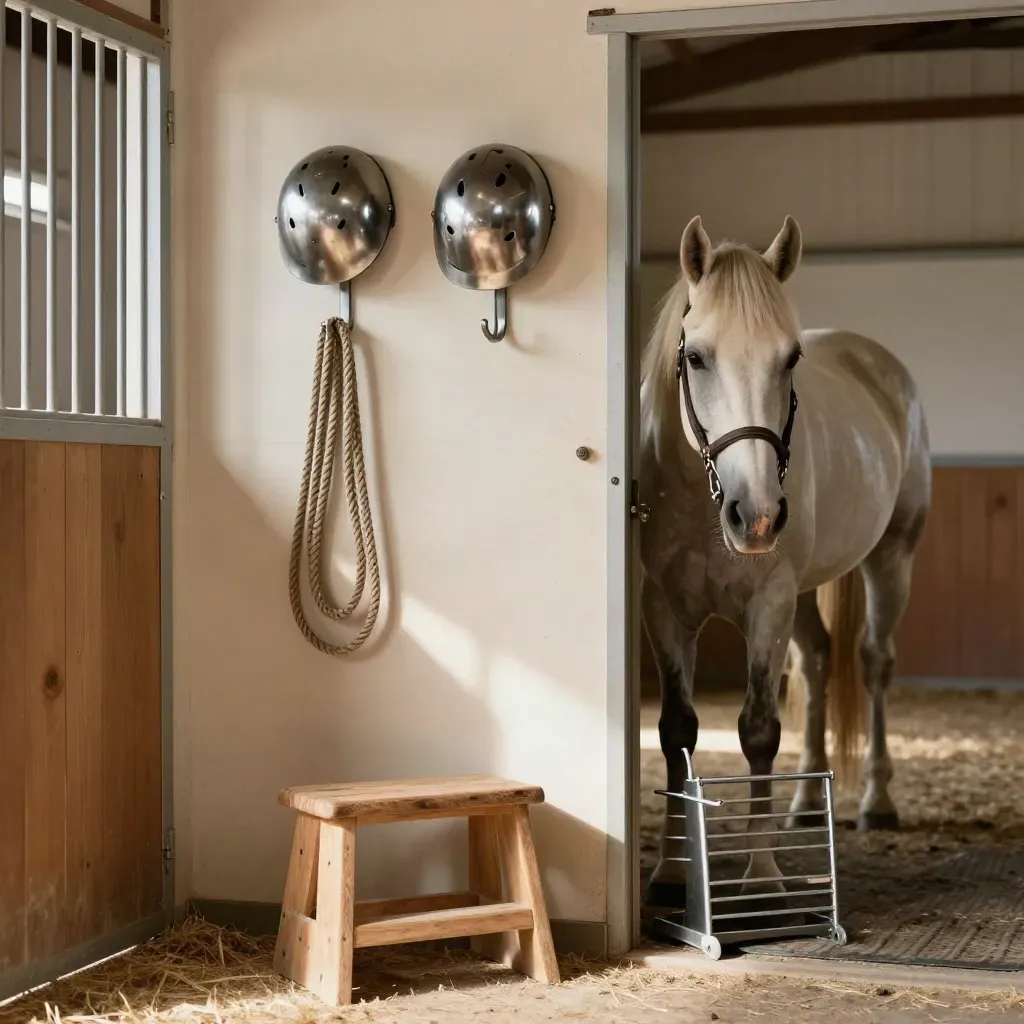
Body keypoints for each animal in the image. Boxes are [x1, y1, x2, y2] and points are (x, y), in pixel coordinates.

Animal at [639, 214, 931, 907]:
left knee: (873, 662)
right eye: (696, 357)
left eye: (790, 358)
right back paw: (804, 803)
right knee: (818, 661)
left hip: (891, 558)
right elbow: (675, 730)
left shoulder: (768, 602)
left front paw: (764, 875)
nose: (758, 515)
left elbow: (758, 729)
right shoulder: (663, 607)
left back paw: (876, 800)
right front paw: (670, 872)